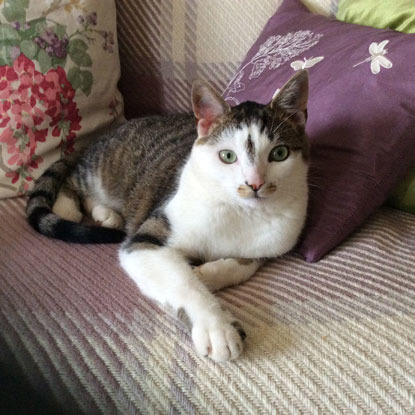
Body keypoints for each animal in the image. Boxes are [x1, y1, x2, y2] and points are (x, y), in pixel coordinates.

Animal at [26, 70, 312, 362]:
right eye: (228, 156)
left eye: (279, 153)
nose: (254, 183)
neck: (240, 211)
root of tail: (102, 136)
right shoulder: (147, 238)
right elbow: (183, 282)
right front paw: (216, 326)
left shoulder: (273, 243)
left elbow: (243, 265)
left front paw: (206, 273)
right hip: (103, 169)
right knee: (73, 179)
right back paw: (69, 207)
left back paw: (106, 213)